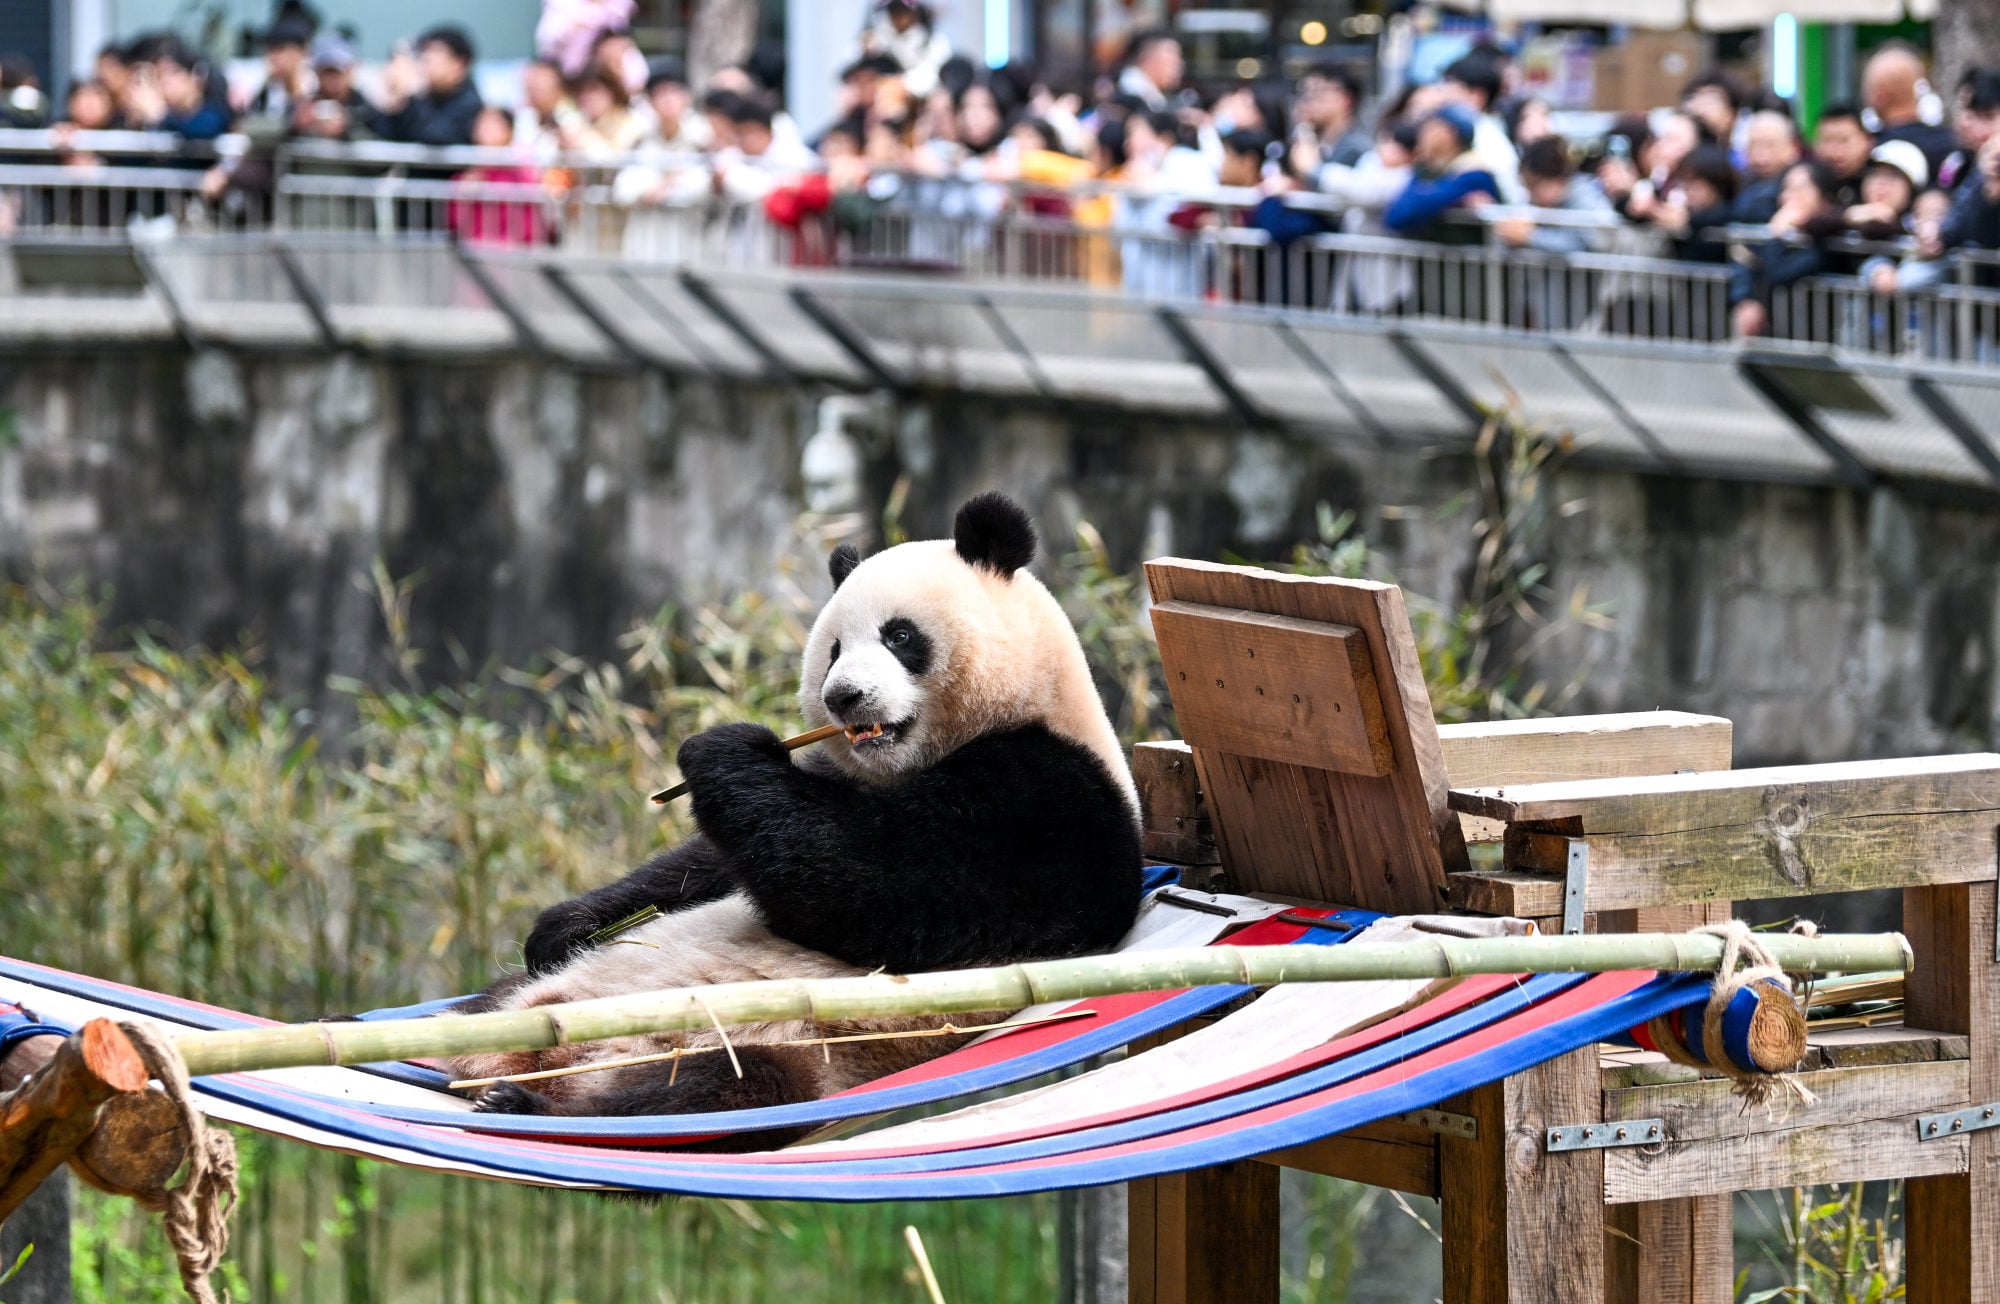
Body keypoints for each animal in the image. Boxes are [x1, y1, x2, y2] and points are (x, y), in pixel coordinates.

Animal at [449, 493, 1143, 1128]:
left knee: (716, 1089)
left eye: (900, 635)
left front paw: (720, 751)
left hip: (785, 1050)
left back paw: (527, 1105)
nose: (844, 697)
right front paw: (560, 926)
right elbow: (708, 865)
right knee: (501, 1000)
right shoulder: (825, 780)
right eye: (833, 649)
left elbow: (873, 884)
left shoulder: (1055, 804)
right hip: (530, 997)